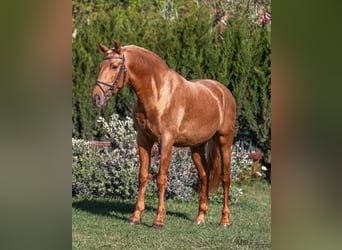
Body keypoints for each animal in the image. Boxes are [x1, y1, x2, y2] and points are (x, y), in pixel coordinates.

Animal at [92, 39, 236, 229]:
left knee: (225, 178)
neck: (157, 94)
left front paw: (158, 220)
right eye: (100, 66)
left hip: (225, 141)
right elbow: (143, 176)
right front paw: (135, 216)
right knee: (204, 176)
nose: (96, 98)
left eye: (114, 66)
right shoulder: (143, 140)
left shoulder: (166, 141)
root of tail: (222, 91)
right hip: (196, 147)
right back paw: (200, 217)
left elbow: (161, 178)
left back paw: (225, 220)